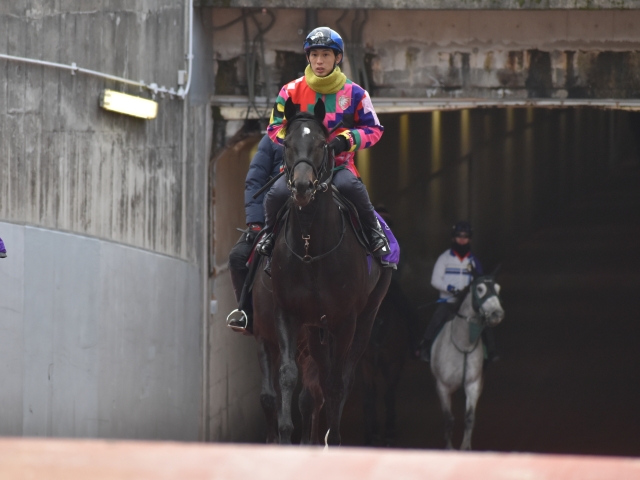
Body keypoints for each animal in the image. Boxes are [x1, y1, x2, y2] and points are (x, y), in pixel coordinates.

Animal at [268, 98, 390, 446]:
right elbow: (288, 375)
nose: (303, 186)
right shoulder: (287, 312)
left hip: (367, 317)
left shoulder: (345, 320)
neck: (311, 247)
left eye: (323, 144)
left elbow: (337, 382)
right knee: (318, 377)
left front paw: (333, 439)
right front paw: (285, 435)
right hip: (314, 327)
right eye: (287, 143)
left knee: (343, 376)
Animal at [430, 274, 504, 450]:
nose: (497, 314)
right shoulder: (442, 387)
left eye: (498, 289)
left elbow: (469, 418)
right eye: (480, 289)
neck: (463, 344)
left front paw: (465, 448)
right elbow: (448, 419)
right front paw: (449, 448)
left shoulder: (473, 384)